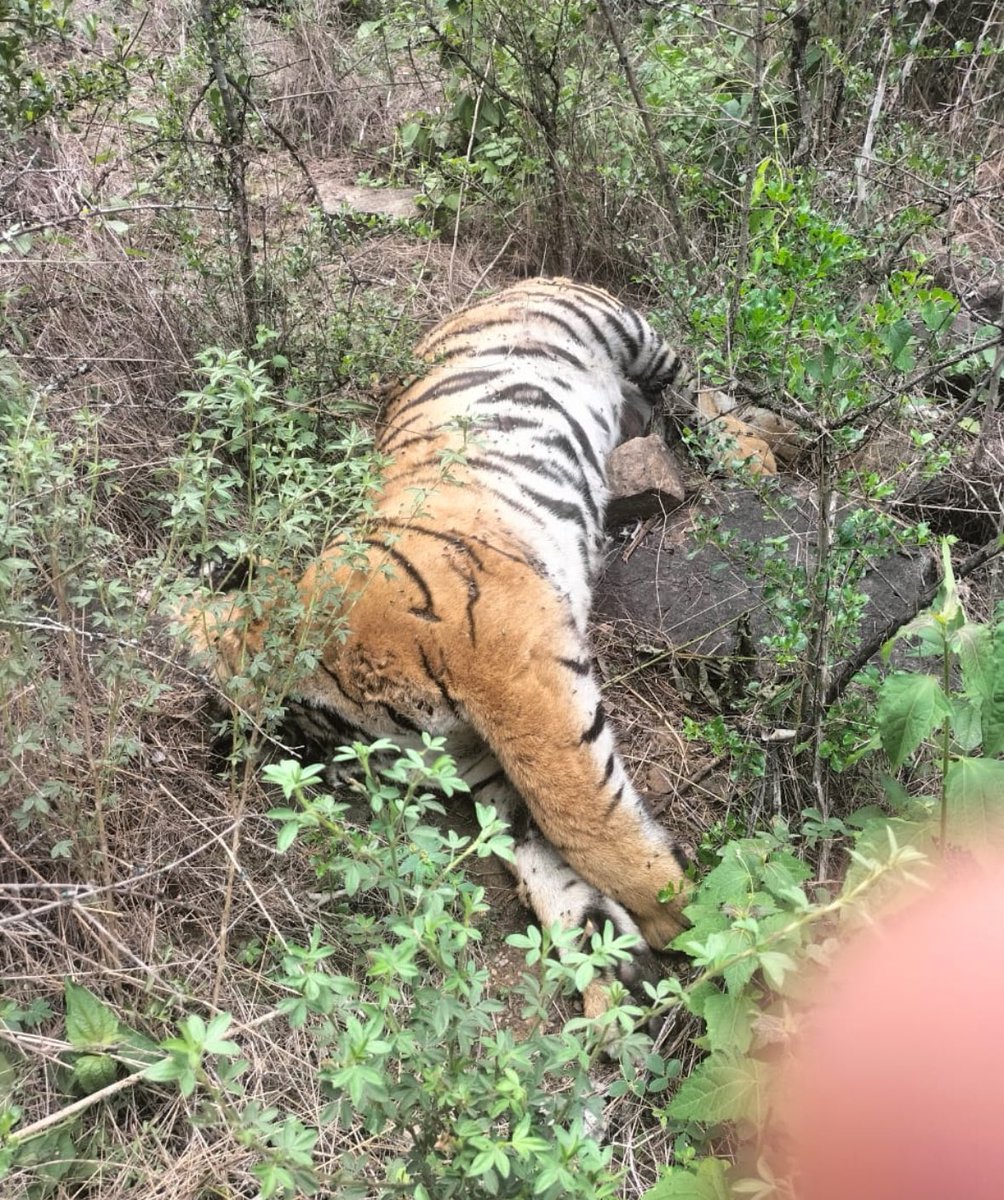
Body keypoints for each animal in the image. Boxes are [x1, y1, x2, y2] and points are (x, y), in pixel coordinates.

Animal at [179, 277, 693, 1013]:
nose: (220, 748)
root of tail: (510, 283)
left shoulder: (516, 674)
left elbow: (577, 812)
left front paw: (679, 910)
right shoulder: (484, 766)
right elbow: (544, 857)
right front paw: (612, 968)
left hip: (627, 330)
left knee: (700, 388)